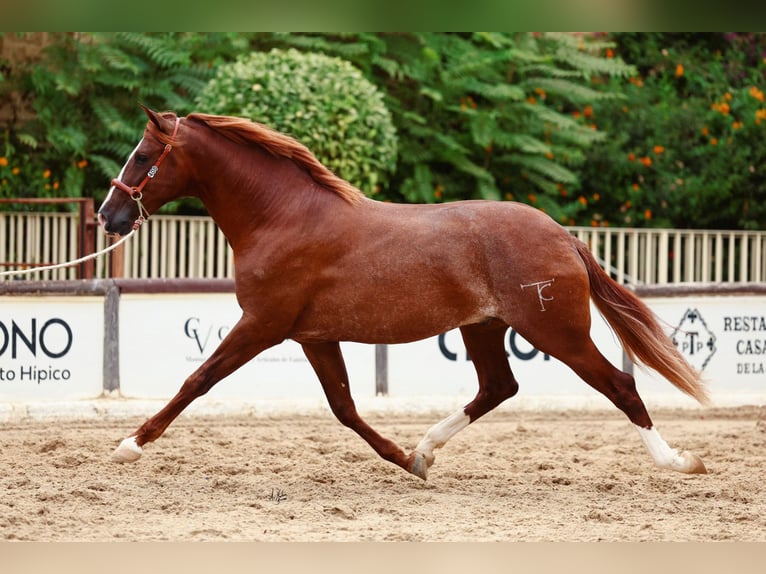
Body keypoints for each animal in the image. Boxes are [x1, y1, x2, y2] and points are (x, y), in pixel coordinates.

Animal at [99, 107, 712, 482]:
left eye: (142, 157)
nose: (109, 216)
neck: (283, 218)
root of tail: (562, 234)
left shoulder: (262, 325)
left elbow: (197, 380)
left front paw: (130, 444)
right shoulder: (312, 335)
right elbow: (345, 407)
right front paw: (403, 459)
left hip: (555, 331)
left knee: (620, 386)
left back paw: (679, 463)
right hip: (483, 328)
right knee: (498, 387)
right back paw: (425, 450)